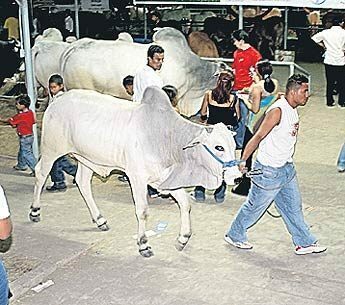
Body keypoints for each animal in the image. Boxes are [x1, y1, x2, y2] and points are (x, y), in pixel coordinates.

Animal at [29, 85, 239, 256]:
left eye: (233, 145)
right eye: (219, 147)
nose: (237, 177)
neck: (166, 138)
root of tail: (58, 100)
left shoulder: (166, 180)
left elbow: (185, 204)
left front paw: (183, 238)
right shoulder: (137, 178)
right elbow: (143, 211)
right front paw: (143, 244)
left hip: (87, 159)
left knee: (82, 183)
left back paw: (100, 219)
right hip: (51, 148)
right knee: (40, 173)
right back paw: (35, 211)